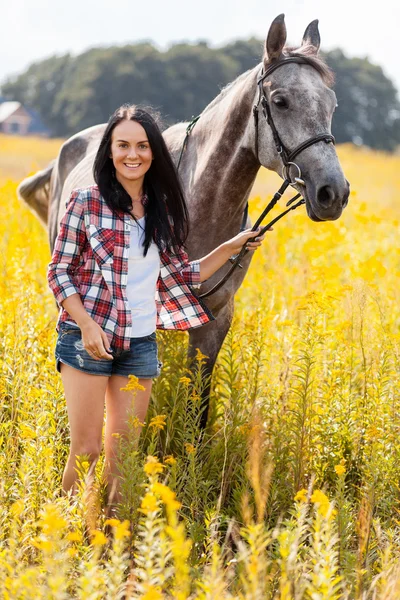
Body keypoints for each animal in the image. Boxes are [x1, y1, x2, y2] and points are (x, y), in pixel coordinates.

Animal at [18, 12, 350, 426]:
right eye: (280, 101)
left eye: (332, 104)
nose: (333, 192)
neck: (200, 205)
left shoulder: (216, 318)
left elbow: (198, 403)